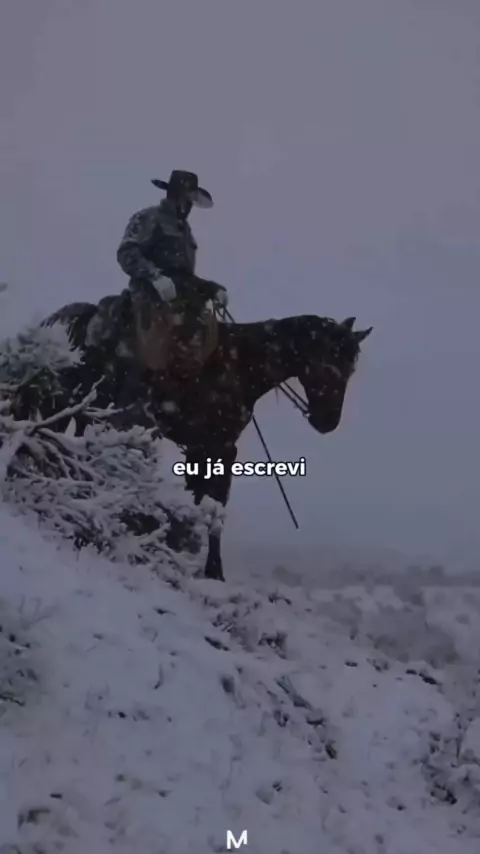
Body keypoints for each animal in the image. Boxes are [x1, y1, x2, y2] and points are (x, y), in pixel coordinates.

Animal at [16, 294, 373, 581]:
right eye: (328, 367)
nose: (328, 422)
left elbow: (203, 501)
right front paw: (212, 569)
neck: (238, 366)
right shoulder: (218, 447)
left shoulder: (205, 449)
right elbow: (212, 505)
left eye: (351, 370)